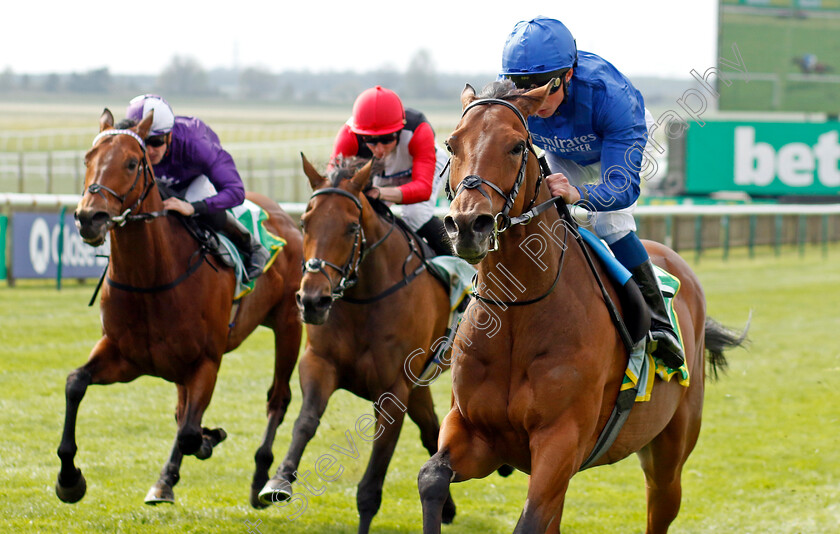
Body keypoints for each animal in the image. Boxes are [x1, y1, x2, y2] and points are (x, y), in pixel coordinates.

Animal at [56, 109, 306, 510]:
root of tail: (286, 218)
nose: (89, 218)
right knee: (182, 411)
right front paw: (69, 479)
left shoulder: (206, 361)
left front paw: (208, 438)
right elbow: (75, 383)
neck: (151, 278)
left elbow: (190, 431)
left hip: (287, 324)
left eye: (131, 162)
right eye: (87, 158)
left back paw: (261, 480)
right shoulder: (126, 357)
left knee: (277, 398)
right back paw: (165, 481)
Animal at [260, 157, 460, 532]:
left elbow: (370, 486)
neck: (364, 300)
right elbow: (306, 420)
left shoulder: (394, 391)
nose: (313, 301)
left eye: (352, 227)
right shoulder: (319, 363)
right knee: (431, 429)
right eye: (305, 222)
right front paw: (279, 480)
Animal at [418, 81, 748, 532]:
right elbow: (431, 477)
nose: (468, 225)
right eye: (451, 144)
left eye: (517, 146)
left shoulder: (562, 440)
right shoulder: (475, 431)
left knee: (661, 503)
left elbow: (530, 520)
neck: (517, 311)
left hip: (670, 449)